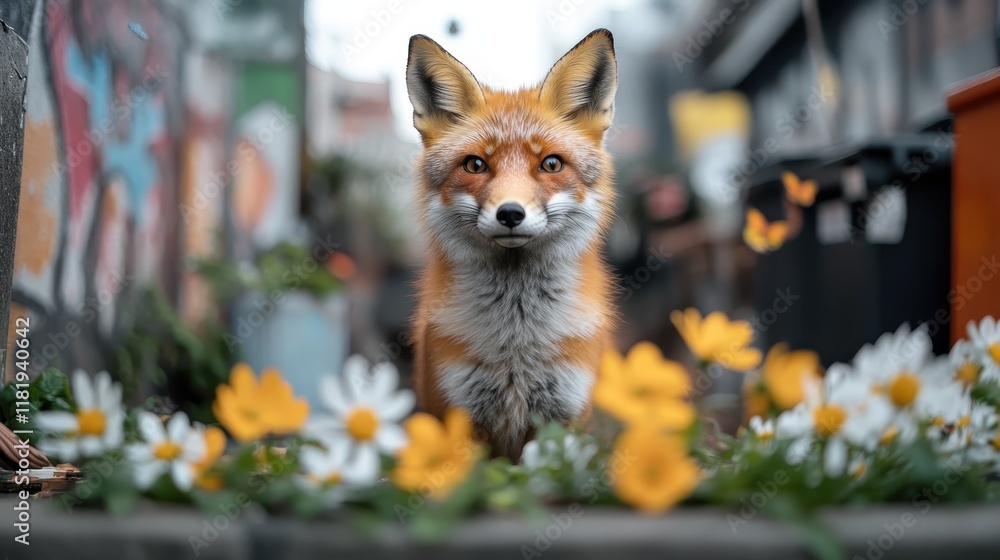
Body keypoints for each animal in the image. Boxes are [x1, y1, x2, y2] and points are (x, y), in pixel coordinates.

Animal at [406, 29, 619, 460]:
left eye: (551, 164)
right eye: (475, 165)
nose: (510, 214)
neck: (516, 342)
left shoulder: (565, 414)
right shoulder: (460, 415)